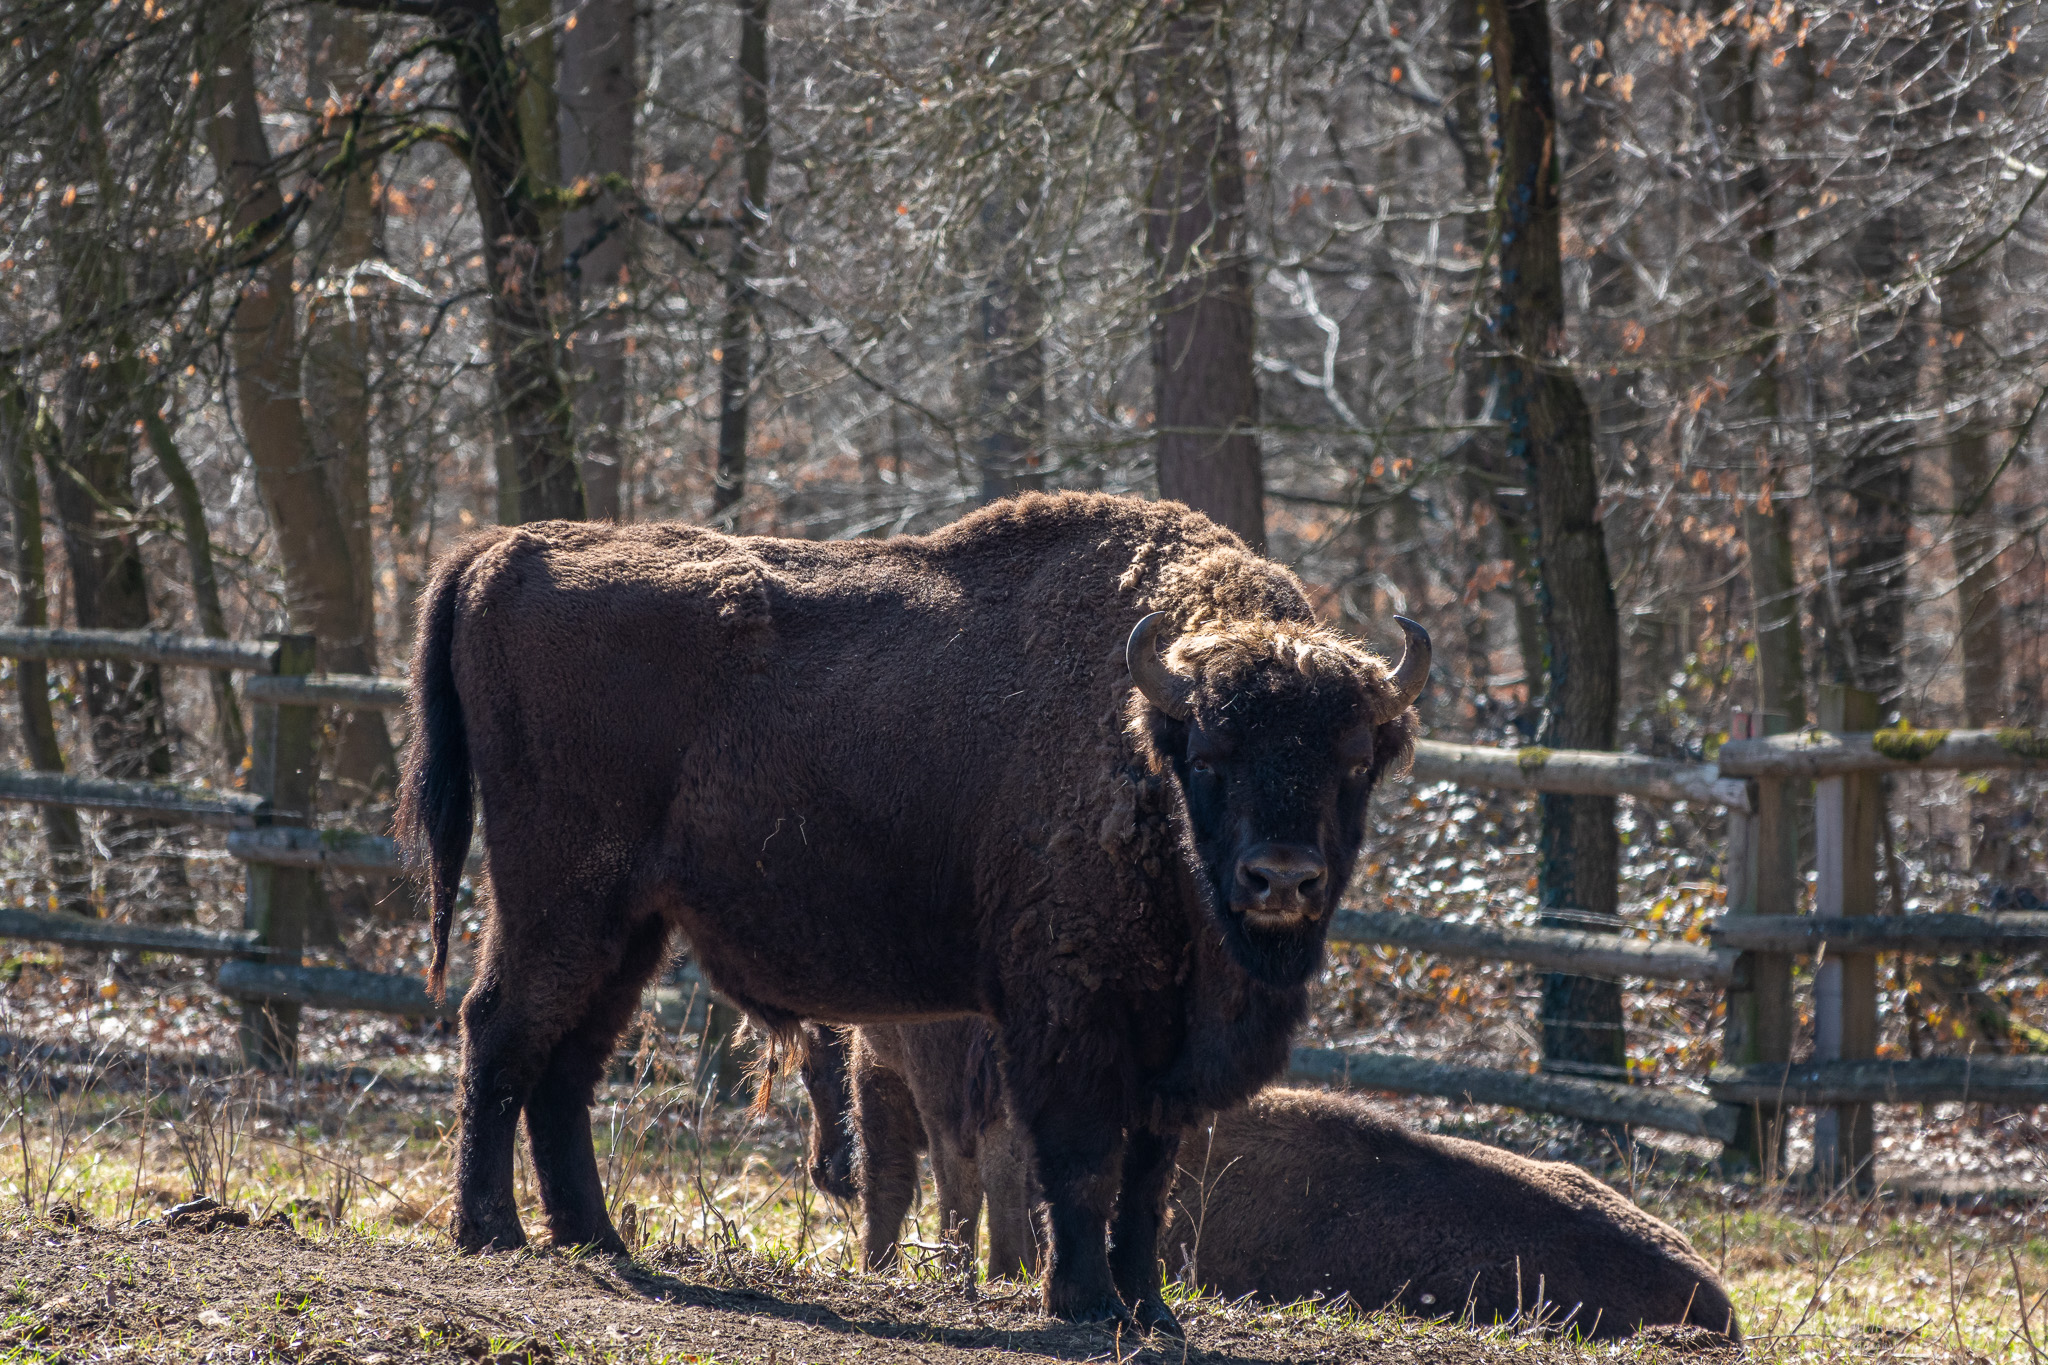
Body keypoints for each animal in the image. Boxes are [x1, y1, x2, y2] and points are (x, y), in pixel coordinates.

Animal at [399, 493, 1425, 1334]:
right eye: (1210, 753)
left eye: (1352, 758)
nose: (1281, 880)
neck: (1141, 741)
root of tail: (504, 550)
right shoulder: (1071, 1015)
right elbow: (1082, 1161)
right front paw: (1084, 1301)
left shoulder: (1164, 1047)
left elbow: (1149, 1177)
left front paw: (1152, 1310)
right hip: (559, 896)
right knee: (500, 1029)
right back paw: (492, 1232)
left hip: (630, 924)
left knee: (567, 1061)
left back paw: (596, 1239)